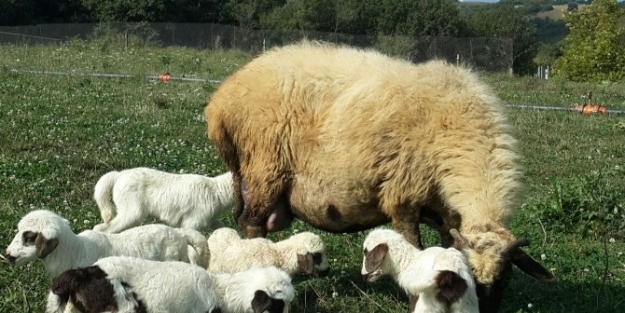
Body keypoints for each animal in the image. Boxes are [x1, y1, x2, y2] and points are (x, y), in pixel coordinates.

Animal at [94, 168, 235, 232]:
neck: (217, 191)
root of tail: (119, 174)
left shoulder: (210, 220)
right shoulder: (192, 222)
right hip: (131, 213)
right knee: (104, 228)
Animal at [206, 40, 556, 310]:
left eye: (506, 278)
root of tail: (221, 101)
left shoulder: (448, 217)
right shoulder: (403, 197)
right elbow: (414, 253)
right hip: (264, 171)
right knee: (252, 225)